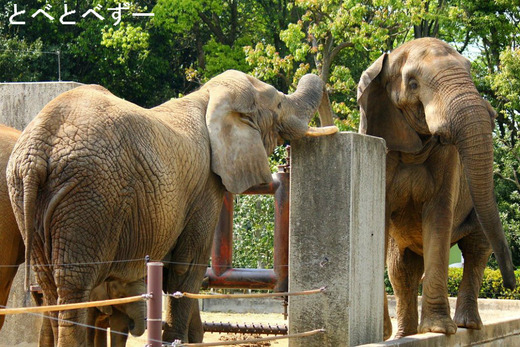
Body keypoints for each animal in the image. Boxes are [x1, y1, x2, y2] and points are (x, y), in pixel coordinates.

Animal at [7, 69, 338, 346]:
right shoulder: (205, 186)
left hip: (27, 198)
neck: (207, 98)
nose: (333, 127)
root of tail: (38, 148)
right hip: (90, 197)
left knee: (51, 286)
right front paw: (179, 340)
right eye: (278, 104)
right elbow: (187, 268)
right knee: (76, 287)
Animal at [358, 38, 516, 340]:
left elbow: (439, 217)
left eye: (470, 70)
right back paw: (402, 336)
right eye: (412, 83)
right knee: (401, 269)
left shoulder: (449, 162)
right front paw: (379, 334)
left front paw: (438, 329)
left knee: (476, 250)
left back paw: (468, 325)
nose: (512, 285)